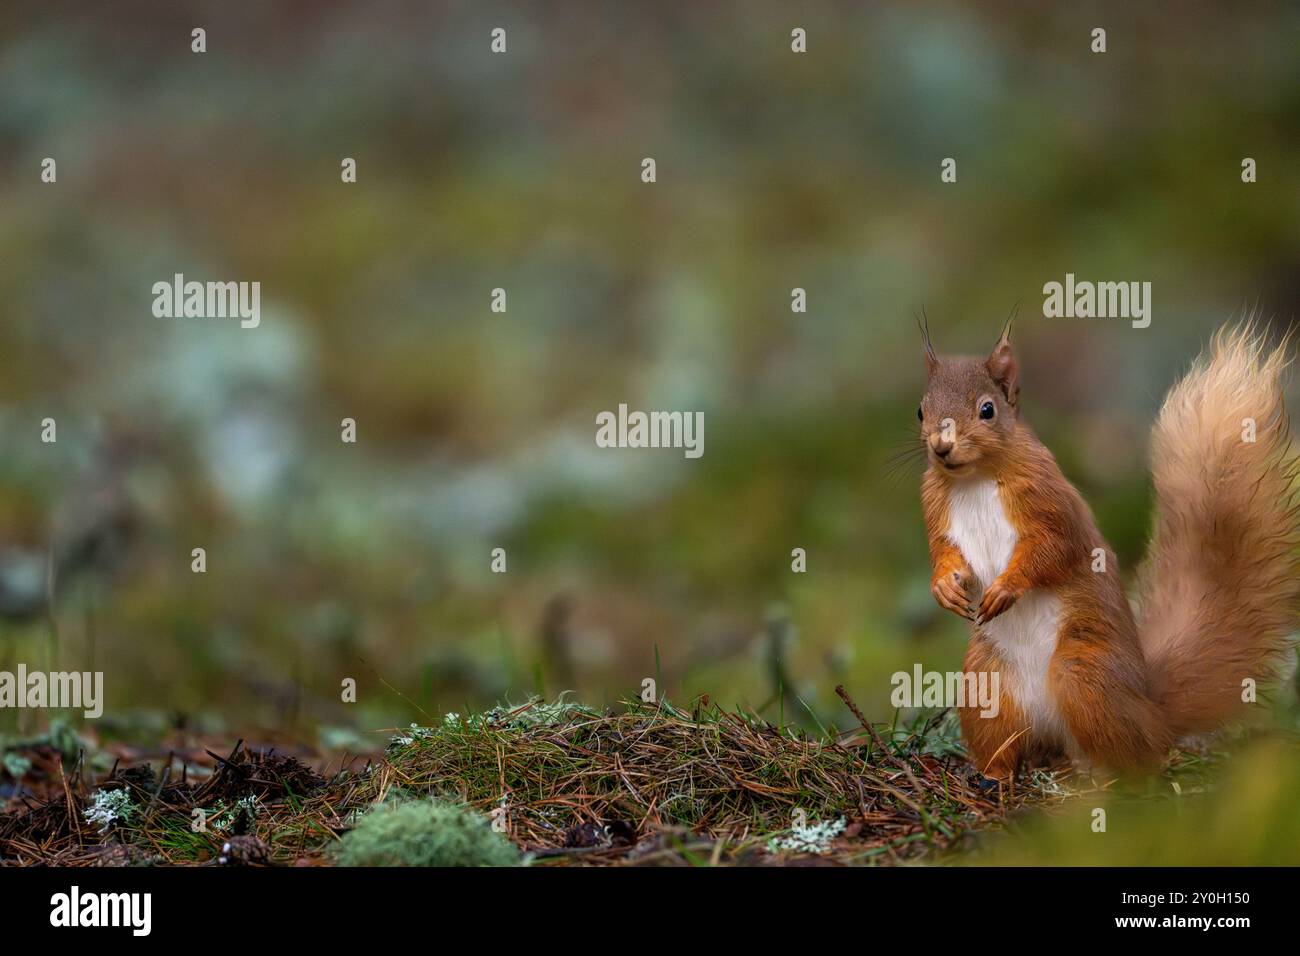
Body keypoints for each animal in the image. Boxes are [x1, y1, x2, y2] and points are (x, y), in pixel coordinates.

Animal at [917, 321, 1300, 779]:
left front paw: (1007, 587)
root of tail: (1153, 711)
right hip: (987, 682)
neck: (974, 479)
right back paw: (994, 777)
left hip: (1085, 675)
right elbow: (943, 553)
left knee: (1134, 756)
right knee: (1002, 740)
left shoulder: (1050, 504)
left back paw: (1107, 778)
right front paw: (944, 587)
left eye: (987, 409)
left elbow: (1052, 550)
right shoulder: (936, 511)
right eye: (920, 411)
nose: (941, 447)